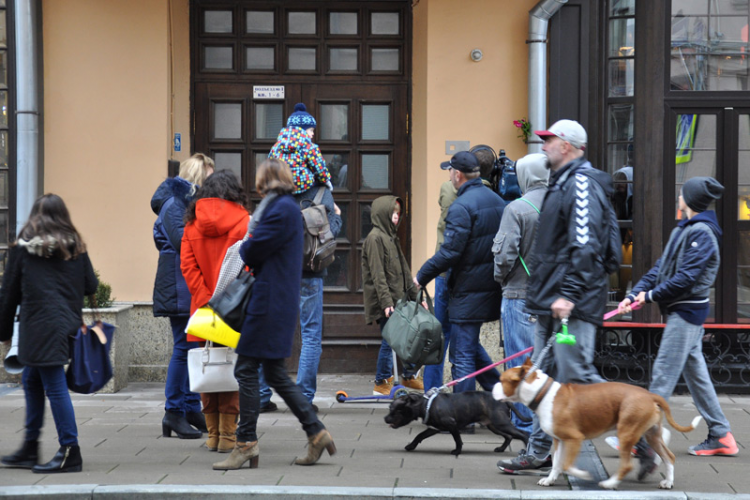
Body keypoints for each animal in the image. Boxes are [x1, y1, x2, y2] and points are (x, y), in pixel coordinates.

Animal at [384, 390, 532, 458]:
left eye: (394, 410)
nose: (385, 419)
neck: (425, 404)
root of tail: (503, 400)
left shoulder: (452, 426)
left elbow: (458, 440)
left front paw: (457, 451)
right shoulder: (433, 429)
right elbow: (419, 436)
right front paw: (411, 446)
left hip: (501, 423)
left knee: (523, 434)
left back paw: (527, 450)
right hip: (494, 426)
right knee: (509, 436)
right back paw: (501, 449)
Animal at [494, 358, 704, 490]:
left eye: (501, 380)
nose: (493, 387)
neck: (542, 392)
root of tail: (649, 394)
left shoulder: (574, 439)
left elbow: (567, 464)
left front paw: (584, 475)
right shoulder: (559, 440)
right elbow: (558, 463)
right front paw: (550, 480)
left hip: (626, 432)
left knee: (627, 465)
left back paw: (610, 484)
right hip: (651, 434)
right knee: (668, 457)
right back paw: (667, 482)